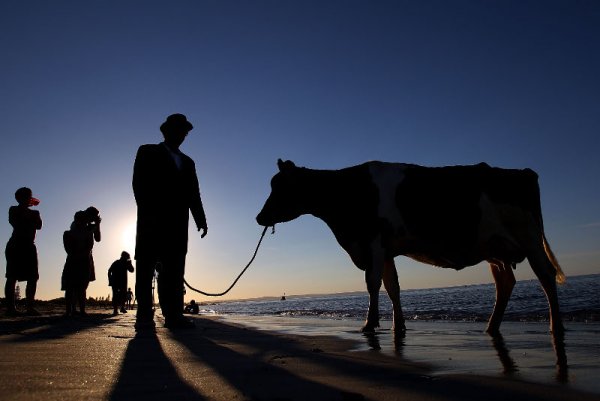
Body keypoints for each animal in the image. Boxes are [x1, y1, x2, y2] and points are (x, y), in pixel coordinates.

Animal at [256, 158, 568, 368]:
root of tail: (523, 173)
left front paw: (369, 323)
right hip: (495, 248)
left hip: (529, 238)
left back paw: (556, 326)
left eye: (280, 187)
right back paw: (491, 328)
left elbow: (372, 283)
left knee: (545, 275)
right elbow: (392, 287)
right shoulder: (386, 250)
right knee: (505, 284)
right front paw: (398, 326)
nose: (259, 218)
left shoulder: (373, 241)